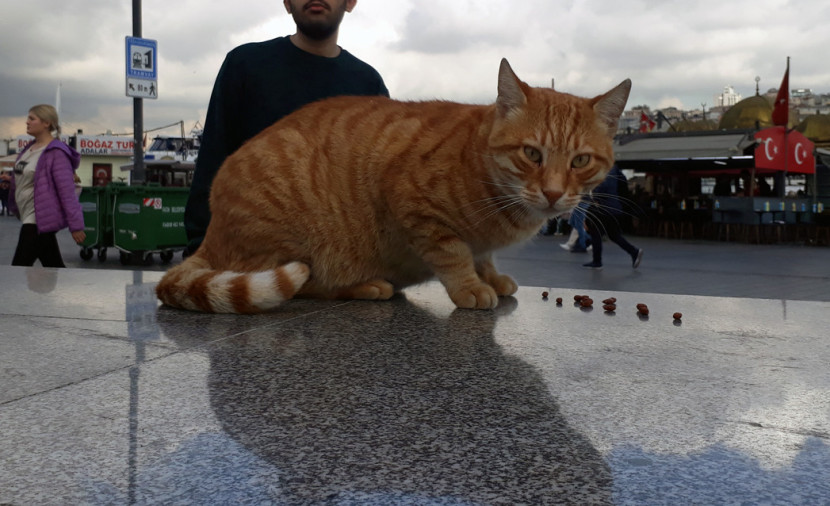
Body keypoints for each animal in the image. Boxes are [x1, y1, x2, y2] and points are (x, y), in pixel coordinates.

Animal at [158, 59, 632, 312]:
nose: (553, 194)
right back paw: (364, 285)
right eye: (532, 154)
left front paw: (492, 276)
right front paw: (470, 286)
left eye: (580, 161)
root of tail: (212, 234)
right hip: (290, 242)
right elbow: (454, 253)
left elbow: (483, 256)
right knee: (301, 282)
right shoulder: (414, 202)